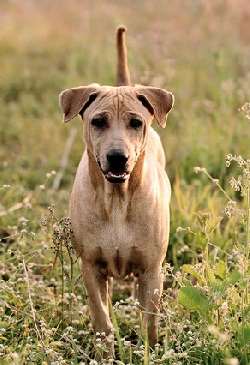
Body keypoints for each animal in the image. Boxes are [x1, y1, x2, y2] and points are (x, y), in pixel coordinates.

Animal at [59, 25, 175, 350]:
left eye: (136, 122)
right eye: (98, 121)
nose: (117, 157)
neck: (117, 201)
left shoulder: (151, 271)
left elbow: (149, 321)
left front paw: (150, 350)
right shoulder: (91, 268)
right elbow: (101, 317)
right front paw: (104, 349)